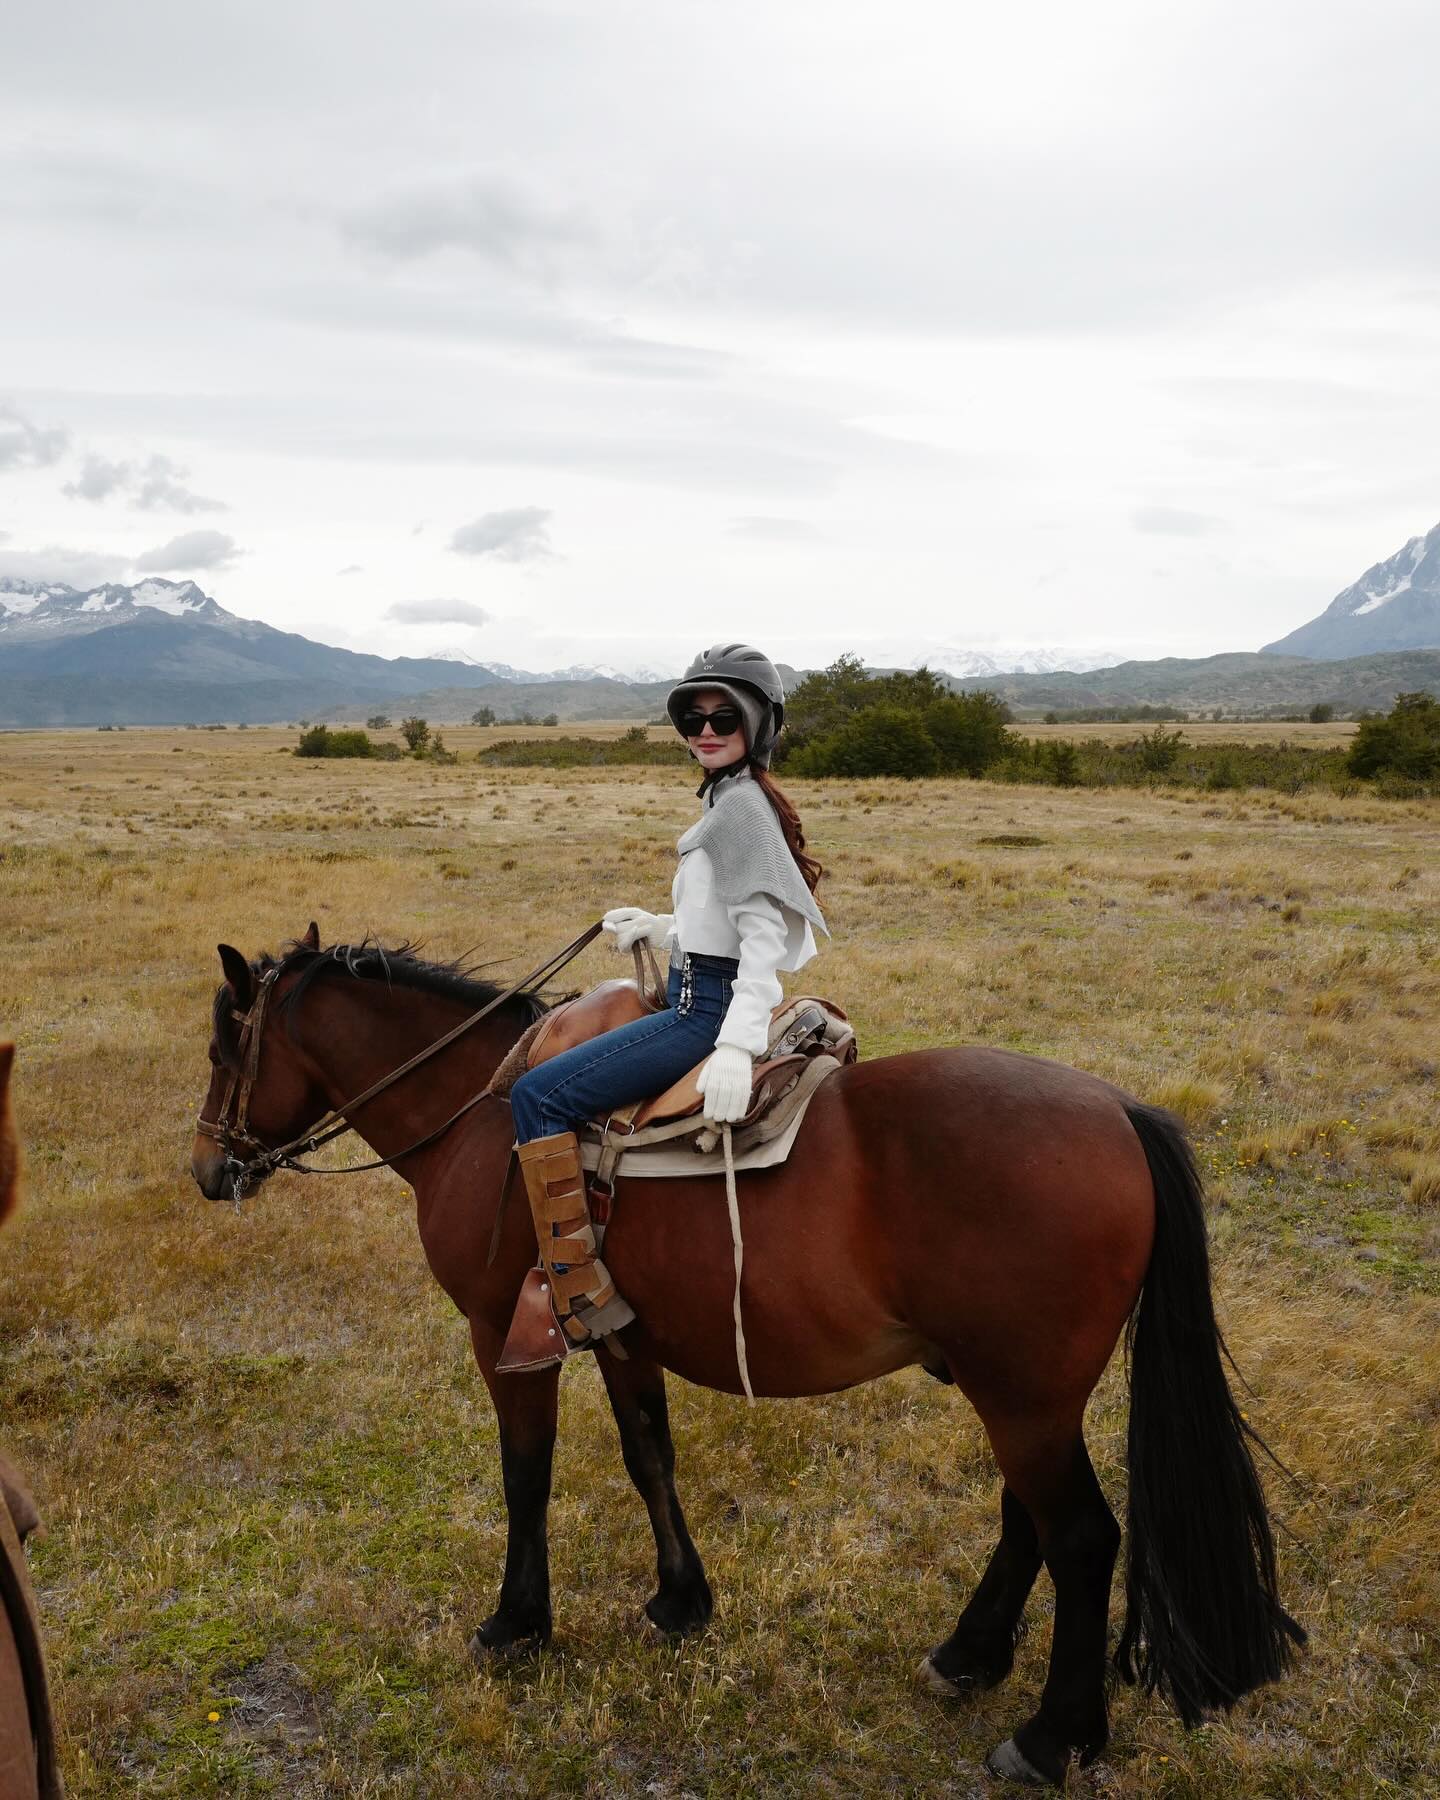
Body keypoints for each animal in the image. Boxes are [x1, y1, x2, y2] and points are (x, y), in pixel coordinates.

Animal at [185, 943, 1296, 1785]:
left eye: (222, 1045)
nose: (207, 1168)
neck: (481, 1112)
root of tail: (1118, 1113)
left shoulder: (504, 1341)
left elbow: (526, 1477)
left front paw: (517, 1621)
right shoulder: (622, 1338)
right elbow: (650, 1458)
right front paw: (682, 1601)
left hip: (1023, 1397)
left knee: (1082, 1539)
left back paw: (1053, 1737)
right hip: (1025, 1397)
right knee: (1030, 1523)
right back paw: (969, 1656)